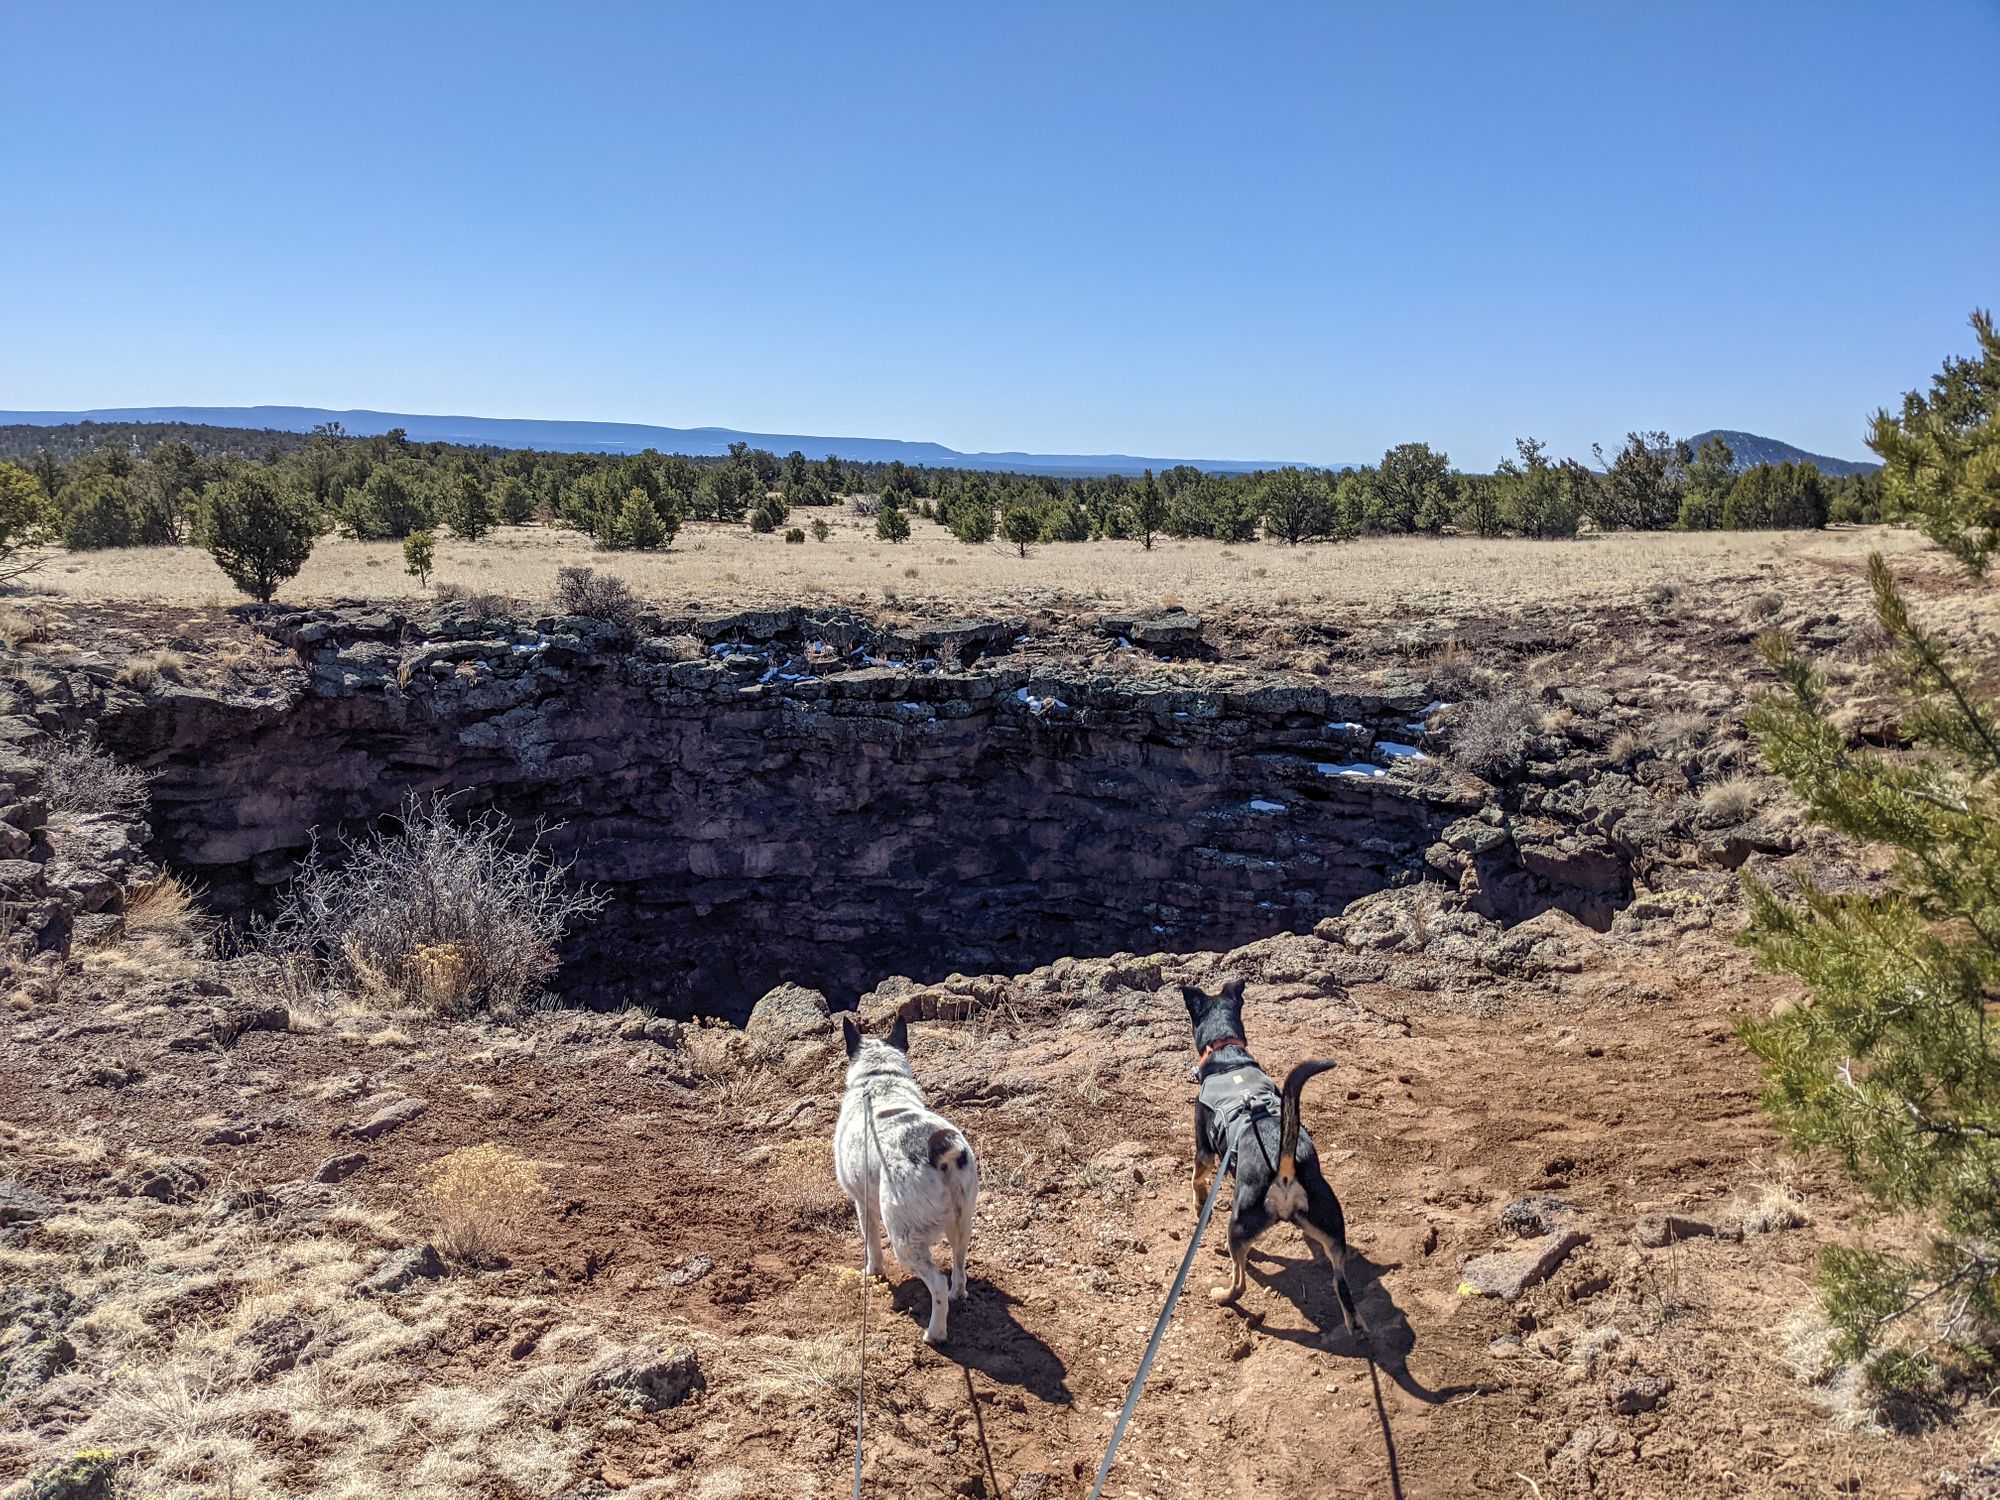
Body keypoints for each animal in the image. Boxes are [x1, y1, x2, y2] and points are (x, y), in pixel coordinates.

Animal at [832, 1016, 980, 1344]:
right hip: (962, 1220)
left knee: (936, 1282)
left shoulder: (862, 1203)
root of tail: (938, 1149)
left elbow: (872, 1247)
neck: (879, 1079)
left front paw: (872, 1272)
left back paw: (935, 1333)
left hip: (903, 1238)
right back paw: (958, 1294)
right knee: (958, 1263)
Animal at [1176, 988, 1368, 1336]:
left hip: (1238, 1223)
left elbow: (1196, 1178)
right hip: (1332, 1229)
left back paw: (1223, 1293)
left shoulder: (1204, 1150)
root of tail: (1285, 1166)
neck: (1227, 1054)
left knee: (1239, 1279)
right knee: (1341, 1282)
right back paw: (1355, 1323)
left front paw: (1199, 1206)